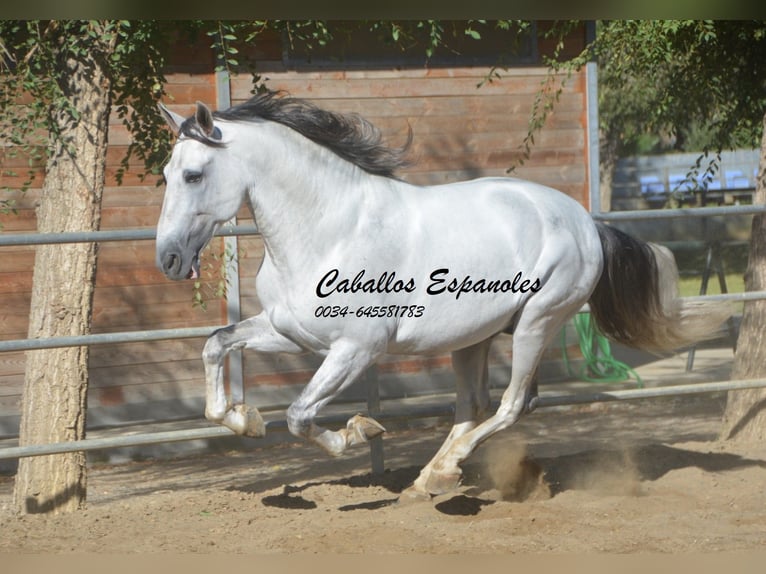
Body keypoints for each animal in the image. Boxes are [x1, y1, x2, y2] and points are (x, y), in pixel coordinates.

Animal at [156, 91, 732, 500]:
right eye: (165, 174)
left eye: (194, 174)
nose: (168, 260)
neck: (329, 228)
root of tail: (585, 219)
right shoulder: (289, 334)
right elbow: (216, 343)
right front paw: (244, 420)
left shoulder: (357, 349)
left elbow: (299, 415)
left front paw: (360, 432)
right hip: (474, 336)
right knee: (475, 405)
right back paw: (427, 480)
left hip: (537, 322)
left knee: (512, 404)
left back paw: (444, 474)